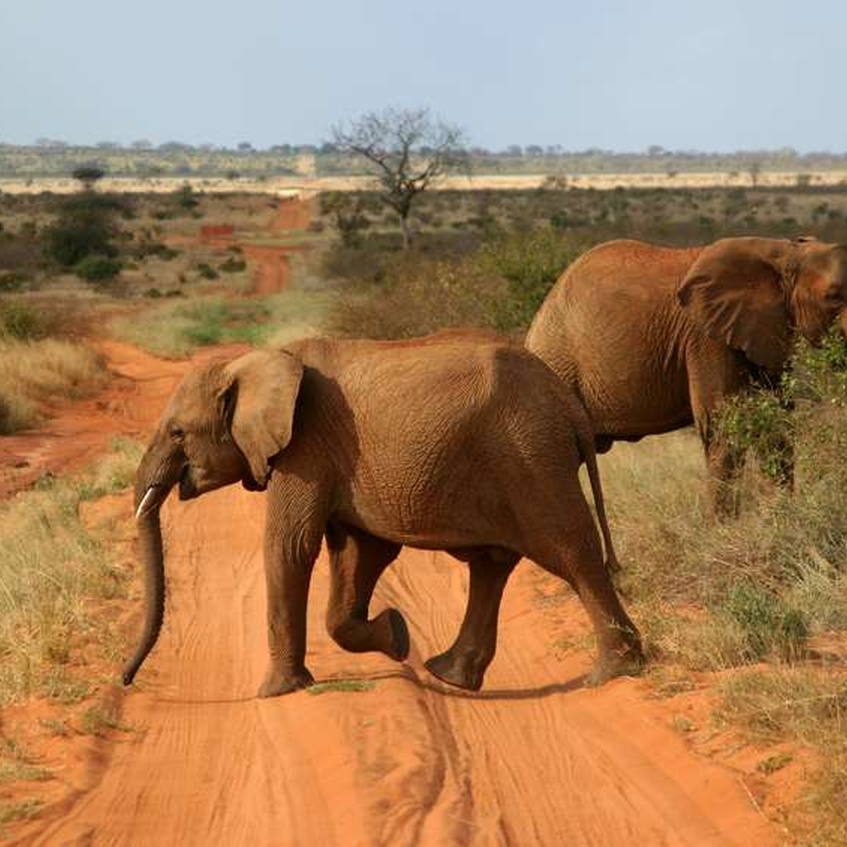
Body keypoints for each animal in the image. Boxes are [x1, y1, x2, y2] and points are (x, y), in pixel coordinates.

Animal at [124, 334, 644, 700]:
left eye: (177, 433)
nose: (126, 681)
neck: (253, 362)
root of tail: (569, 406)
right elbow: (360, 554)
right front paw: (395, 634)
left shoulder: (304, 448)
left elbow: (291, 546)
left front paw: (276, 692)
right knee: (493, 565)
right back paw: (450, 676)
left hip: (532, 457)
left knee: (571, 552)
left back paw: (614, 674)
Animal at [524, 238, 847, 516]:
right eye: (832, 297)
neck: (784, 251)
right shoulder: (705, 337)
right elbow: (721, 424)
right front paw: (722, 531)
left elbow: (778, 422)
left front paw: (782, 515)